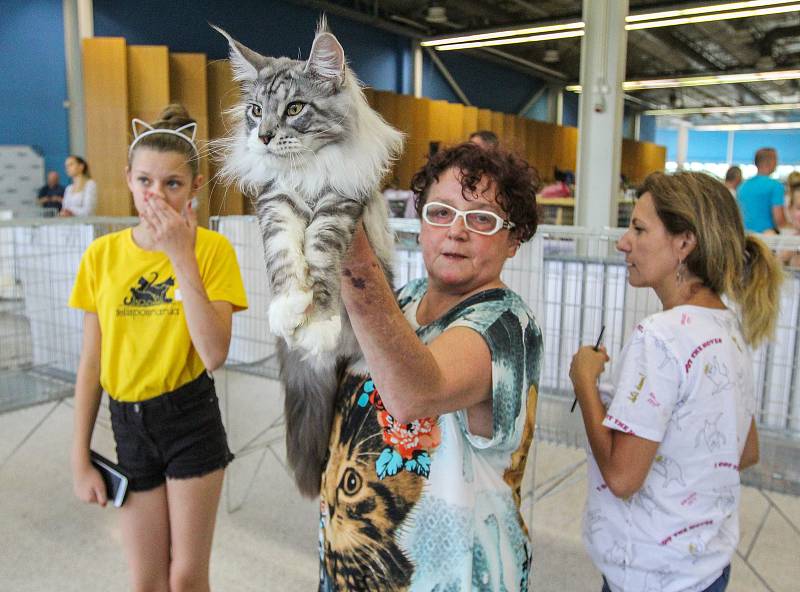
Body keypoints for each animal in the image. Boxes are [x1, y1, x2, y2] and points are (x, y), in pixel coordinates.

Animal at [212, 20, 404, 498]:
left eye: (295, 108)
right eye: (256, 111)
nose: (263, 136)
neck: (306, 173)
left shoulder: (341, 203)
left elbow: (319, 252)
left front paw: (316, 321)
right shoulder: (273, 202)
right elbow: (283, 252)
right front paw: (289, 308)